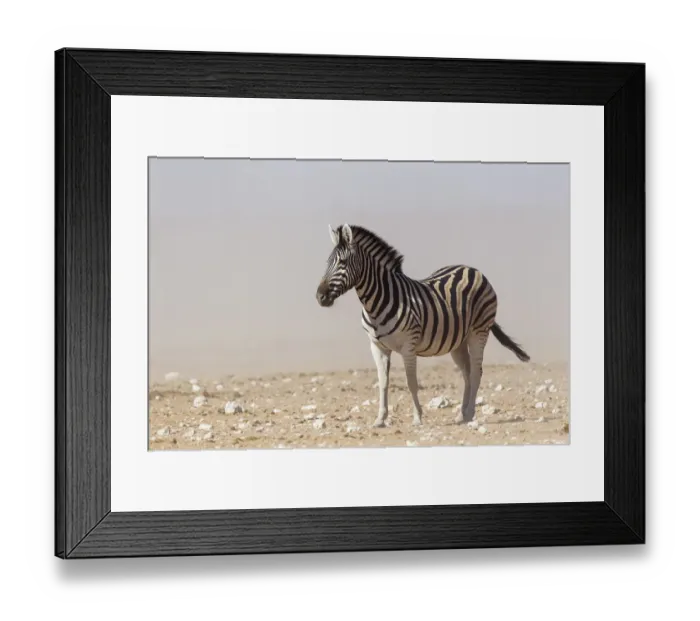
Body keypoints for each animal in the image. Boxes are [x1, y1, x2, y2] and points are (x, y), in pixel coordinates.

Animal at [316, 223, 530, 428]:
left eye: (342, 262)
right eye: (327, 262)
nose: (320, 297)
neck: (375, 304)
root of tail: (472, 269)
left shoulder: (408, 346)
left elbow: (411, 382)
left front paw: (418, 418)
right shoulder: (377, 346)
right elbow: (383, 382)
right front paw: (380, 419)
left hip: (479, 332)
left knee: (477, 372)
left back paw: (470, 413)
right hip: (458, 342)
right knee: (467, 373)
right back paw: (462, 414)